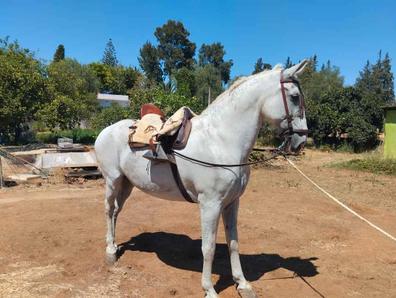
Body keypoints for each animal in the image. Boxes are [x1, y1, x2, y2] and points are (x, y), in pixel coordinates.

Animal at [95, 59, 310, 296]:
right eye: (294, 97)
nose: (301, 140)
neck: (220, 141)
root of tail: (106, 130)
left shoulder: (232, 202)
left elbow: (234, 242)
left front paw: (242, 284)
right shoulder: (210, 204)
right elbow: (208, 248)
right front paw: (210, 289)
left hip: (127, 184)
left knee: (116, 212)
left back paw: (115, 245)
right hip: (112, 180)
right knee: (108, 210)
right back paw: (110, 251)